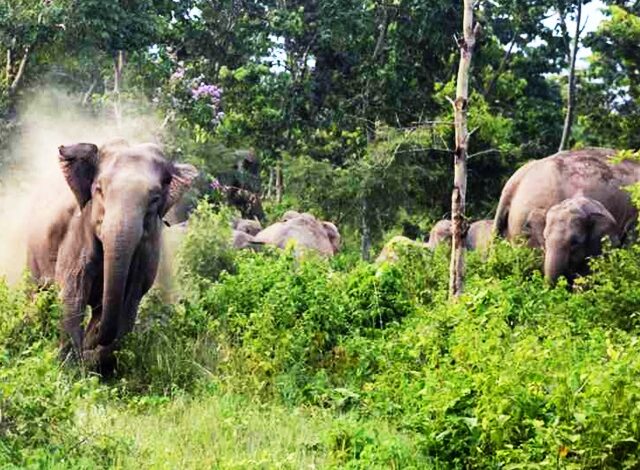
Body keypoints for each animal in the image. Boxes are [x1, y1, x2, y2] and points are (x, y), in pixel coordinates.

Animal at [26, 140, 198, 370]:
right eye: (99, 190)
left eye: (154, 199)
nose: (91, 341)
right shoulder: (78, 230)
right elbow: (73, 290)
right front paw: (70, 367)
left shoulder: (148, 249)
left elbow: (131, 299)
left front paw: (93, 359)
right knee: (36, 292)